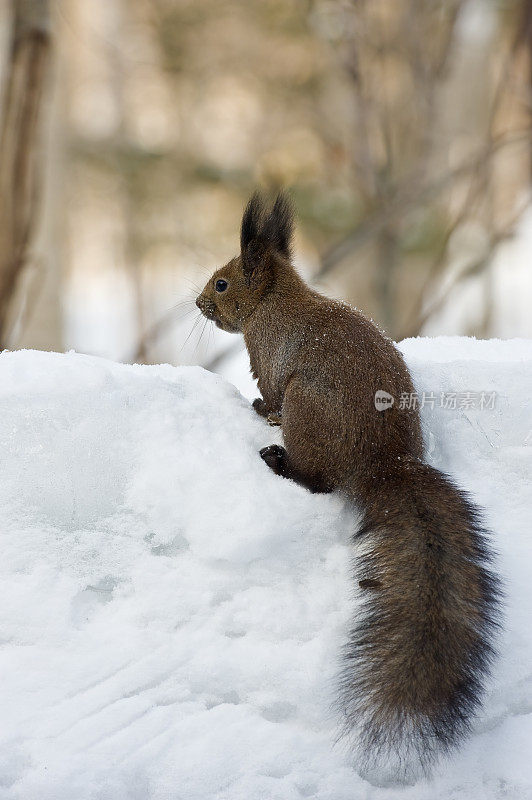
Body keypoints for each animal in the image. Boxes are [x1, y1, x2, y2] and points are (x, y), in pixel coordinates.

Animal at [195, 192, 498, 776]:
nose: (197, 303)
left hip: (306, 409)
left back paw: (278, 459)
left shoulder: (269, 360)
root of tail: (382, 464)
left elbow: (266, 394)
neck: (276, 302)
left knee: (317, 481)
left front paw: (259, 410)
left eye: (222, 284)